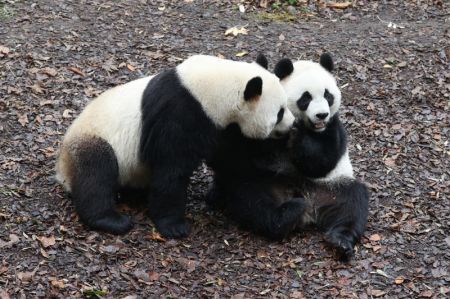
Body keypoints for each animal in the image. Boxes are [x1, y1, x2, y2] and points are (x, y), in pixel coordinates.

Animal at [55, 55, 296, 239]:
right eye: (279, 112)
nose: (293, 124)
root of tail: (61, 169)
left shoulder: (222, 127)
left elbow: (231, 161)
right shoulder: (181, 115)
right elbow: (171, 168)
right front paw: (174, 226)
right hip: (94, 139)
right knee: (96, 172)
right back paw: (111, 220)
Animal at [207, 54, 370, 262]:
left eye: (328, 95)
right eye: (306, 97)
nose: (321, 115)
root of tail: (310, 207)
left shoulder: (333, 128)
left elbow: (322, 162)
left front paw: (299, 137)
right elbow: (245, 156)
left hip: (330, 187)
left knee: (352, 202)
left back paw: (340, 241)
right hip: (267, 182)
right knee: (254, 201)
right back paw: (285, 216)